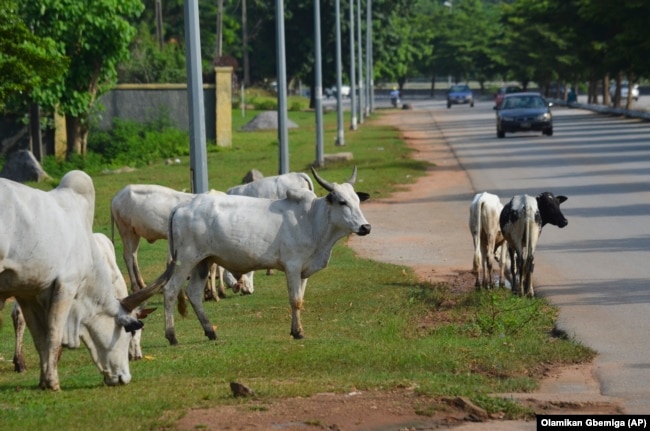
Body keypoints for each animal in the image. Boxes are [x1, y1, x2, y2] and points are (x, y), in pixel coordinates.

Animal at [109, 184, 251, 298]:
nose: (249, 290)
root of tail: (117, 195)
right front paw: (214, 292)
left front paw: (210, 291)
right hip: (125, 230)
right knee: (127, 256)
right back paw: (135, 287)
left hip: (134, 233)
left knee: (133, 255)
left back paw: (142, 285)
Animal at [162, 167, 370, 346]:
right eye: (342, 202)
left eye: (358, 201)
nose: (366, 227)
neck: (311, 220)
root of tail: (182, 206)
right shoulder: (292, 266)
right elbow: (295, 300)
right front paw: (298, 332)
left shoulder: (304, 271)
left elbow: (300, 299)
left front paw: (296, 329)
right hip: (186, 261)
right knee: (170, 290)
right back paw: (172, 336)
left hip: (203, 262)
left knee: (194, 293)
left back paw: (210, 331)